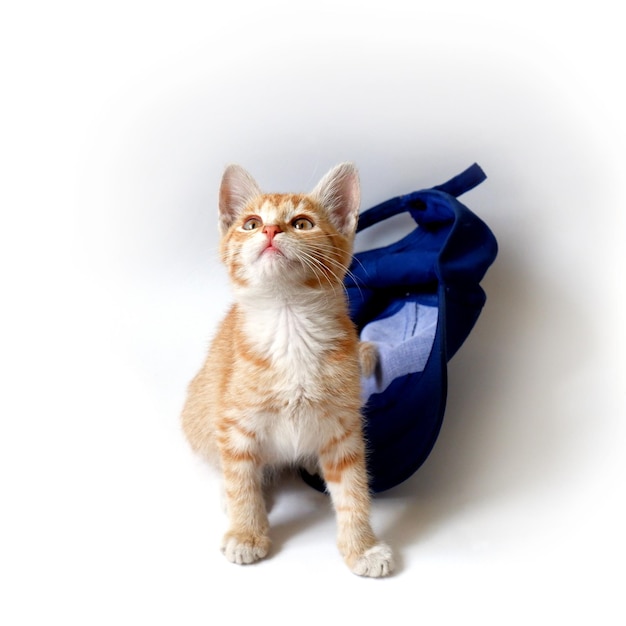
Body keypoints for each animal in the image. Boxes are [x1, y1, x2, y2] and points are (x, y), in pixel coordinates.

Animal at [180, 162, 392, 576]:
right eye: (250, 223)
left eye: (302, 223)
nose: (270, 230)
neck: (289, 321)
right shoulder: (235, 423)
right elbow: (241, 479)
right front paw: (246, 533)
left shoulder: (343, 430)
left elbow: (353, 490)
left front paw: (362, 547)